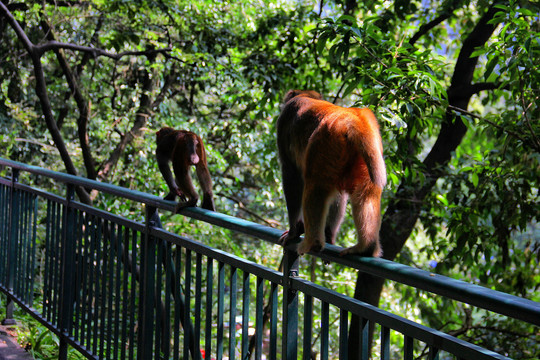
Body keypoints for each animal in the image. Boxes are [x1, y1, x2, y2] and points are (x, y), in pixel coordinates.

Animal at [276, 90, 386, 258]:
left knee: (315, 186)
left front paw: (293, 232)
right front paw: (329, 236)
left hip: (325, 143)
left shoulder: (284, 119)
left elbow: (291, 174)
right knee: (366, 194)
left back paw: (312, 242)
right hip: (367, 152)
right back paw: (366, 247)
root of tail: (354, 117)